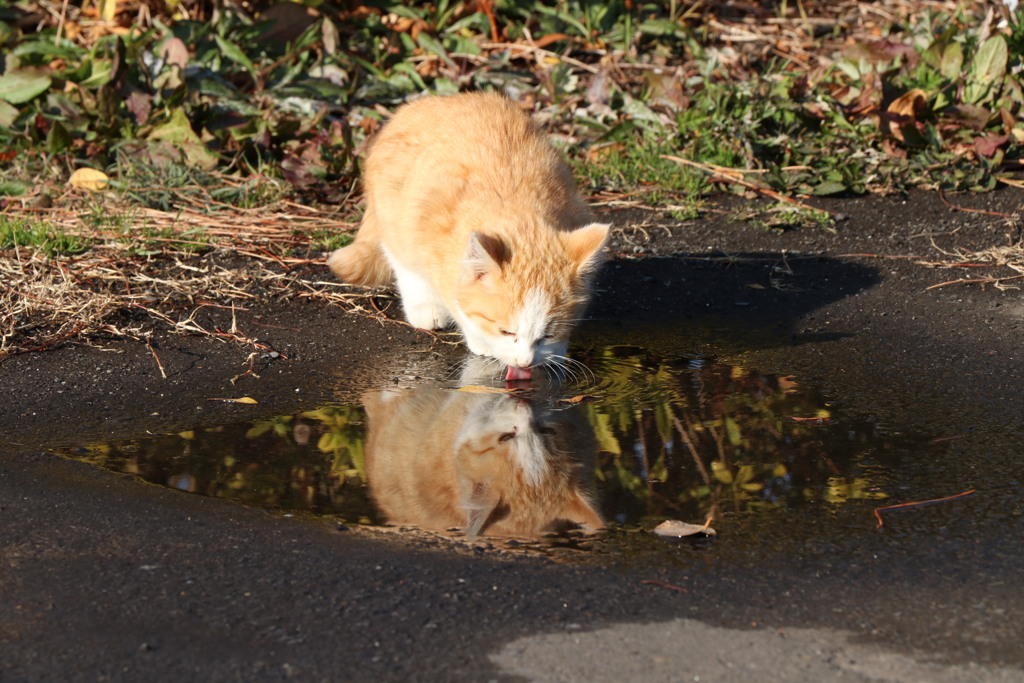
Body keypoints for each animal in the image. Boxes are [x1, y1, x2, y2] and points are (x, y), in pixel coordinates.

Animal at [325, 91, 606, 382]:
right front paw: (480, 339)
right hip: (395, 210)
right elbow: (454, 294)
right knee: (402, 260)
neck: (518, 207)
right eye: (506, 332)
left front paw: (555, 352)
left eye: (547, 335)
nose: (525, 361)